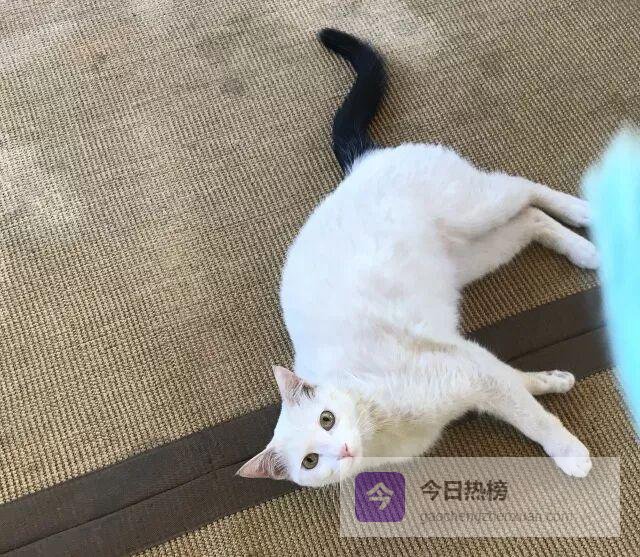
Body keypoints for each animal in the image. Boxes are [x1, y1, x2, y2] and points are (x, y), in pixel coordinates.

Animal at [237, 29, 596, 487]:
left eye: (327, 418)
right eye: (311, 462)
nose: (343, 450)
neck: (380, 427)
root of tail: (363, 164)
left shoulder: (469, 370)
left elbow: (531, 418)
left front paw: (569, 452)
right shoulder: (472, 362)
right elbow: (516, 382)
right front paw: (552, 381)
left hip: (476, 208)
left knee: (525, 188)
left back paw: (586, 214)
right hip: (474, 255)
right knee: (531, 218)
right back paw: (584, 249)